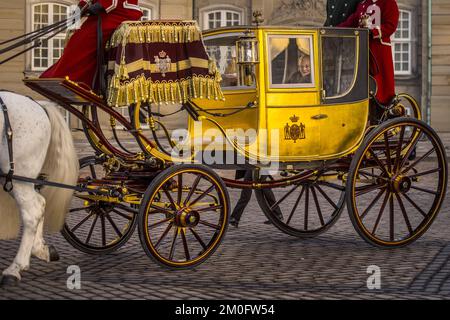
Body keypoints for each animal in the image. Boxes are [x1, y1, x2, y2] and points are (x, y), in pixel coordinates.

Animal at [0, 91, 78, 286]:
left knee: (32, 212)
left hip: (18, 176)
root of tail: (39, 105)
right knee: (40, 203)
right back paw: (39, 250)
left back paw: (14, 269)